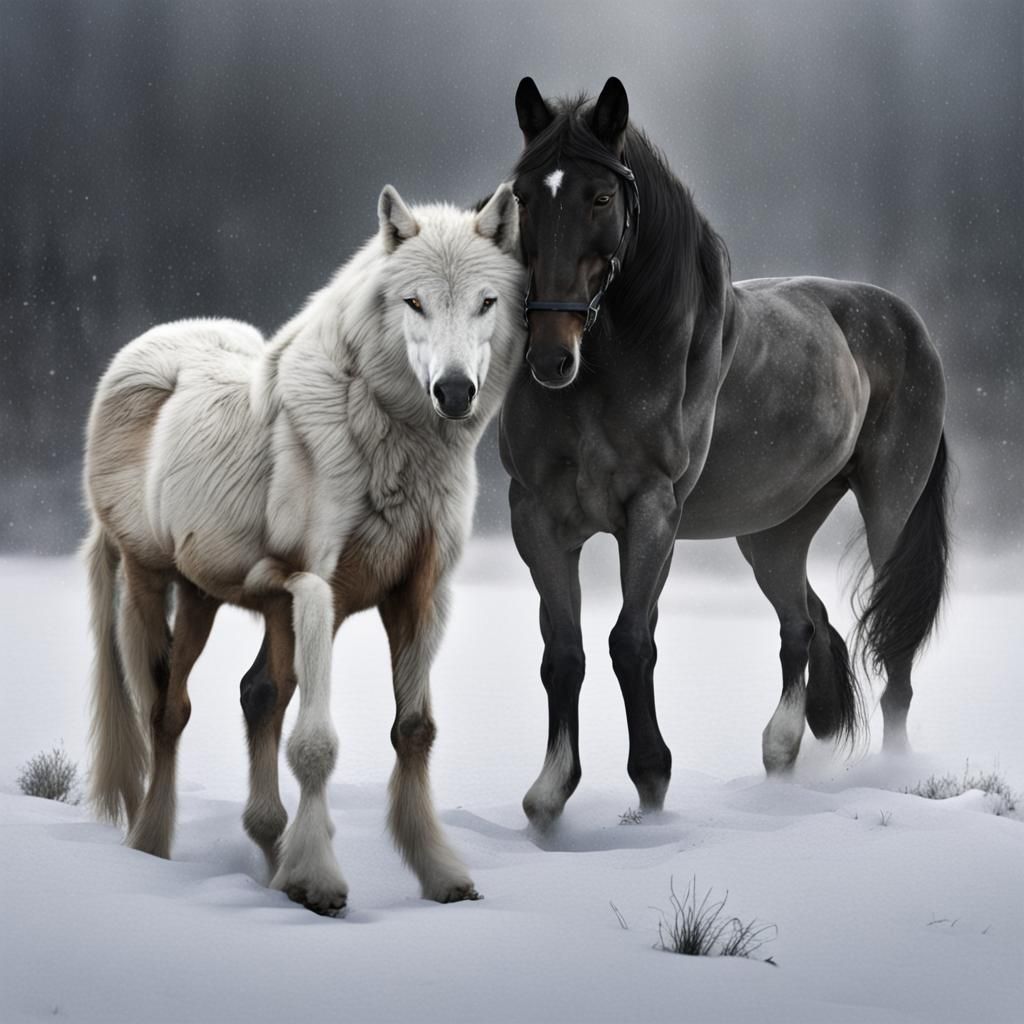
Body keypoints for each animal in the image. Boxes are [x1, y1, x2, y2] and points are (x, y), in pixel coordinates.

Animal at [83, 183, 524, 914]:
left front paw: (439, 873)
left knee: (254, 694)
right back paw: (150, 846)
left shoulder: (419, 594)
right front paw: (320, 883)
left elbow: (415, 731)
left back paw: (270, 860)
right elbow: (315, 743)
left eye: (487, 301)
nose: (454, 391)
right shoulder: (314, 586)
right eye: (414, 302)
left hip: (219, 599)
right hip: (152, 584)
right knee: (165, 711)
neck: (383, 439)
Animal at [500, 77, 949, 829]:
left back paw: (892, 772)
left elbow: (631, 641)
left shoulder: (652, 512)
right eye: (525, 196)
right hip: (774, 532)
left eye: (600, 196)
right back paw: (782, 752)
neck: (615, 365)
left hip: (890, 510)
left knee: (894, 645)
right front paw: (549, 792)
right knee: (802, 624)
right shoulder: (537, 517)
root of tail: (910, 325)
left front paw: (652, 784)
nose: (550, 355)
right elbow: (563, 652)